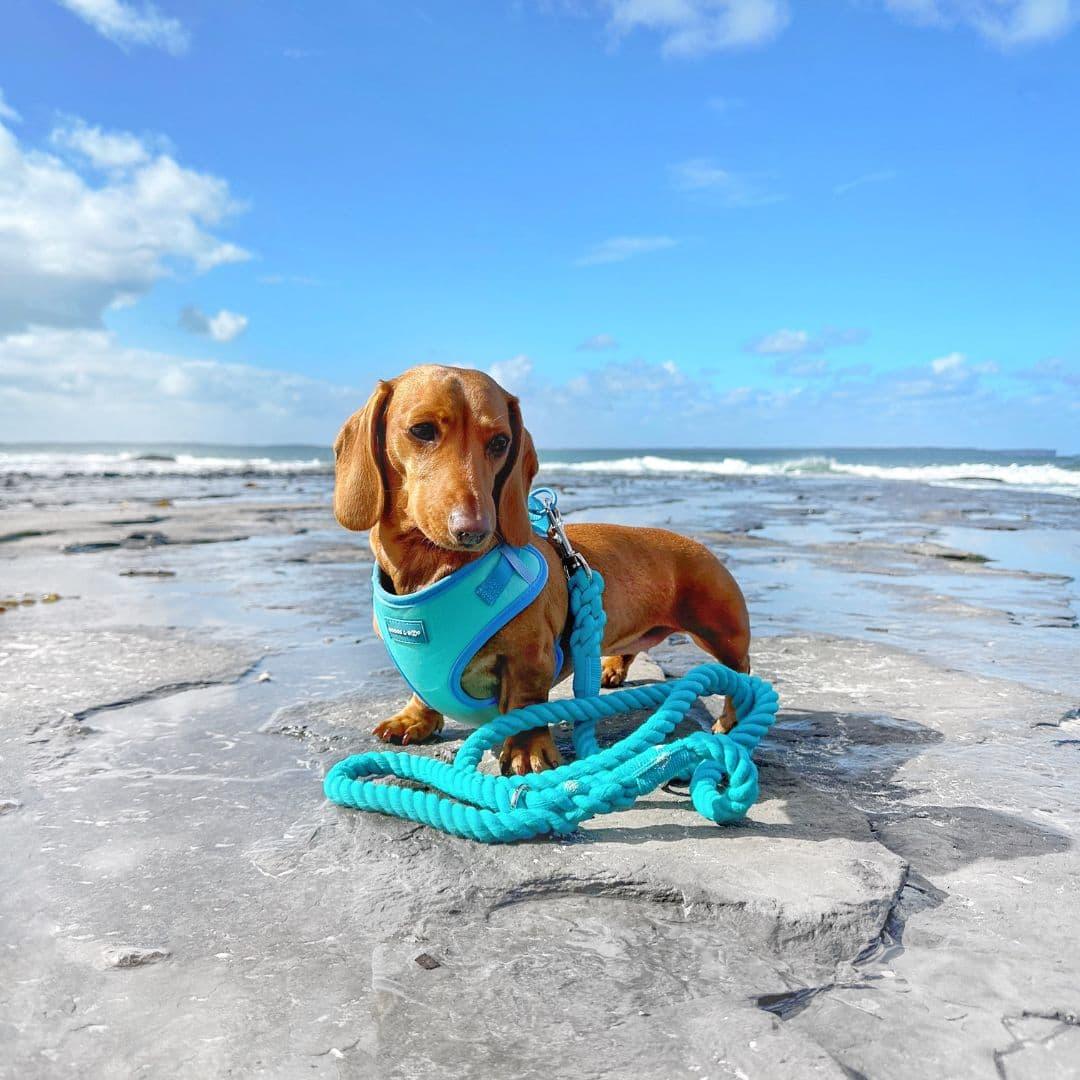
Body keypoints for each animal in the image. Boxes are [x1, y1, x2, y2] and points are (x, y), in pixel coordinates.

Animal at [332, 367, 747, 773]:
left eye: (500, 442)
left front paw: (526, 748)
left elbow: (525, 702)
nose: (474, 531)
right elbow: (421, 690)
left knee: (741, 672)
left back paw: (732, 717)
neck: (431, 568)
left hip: (721, 631)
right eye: (422, 430)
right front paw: (415, 718)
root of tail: (698, 545)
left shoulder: (531, 656)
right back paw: (612, 667)